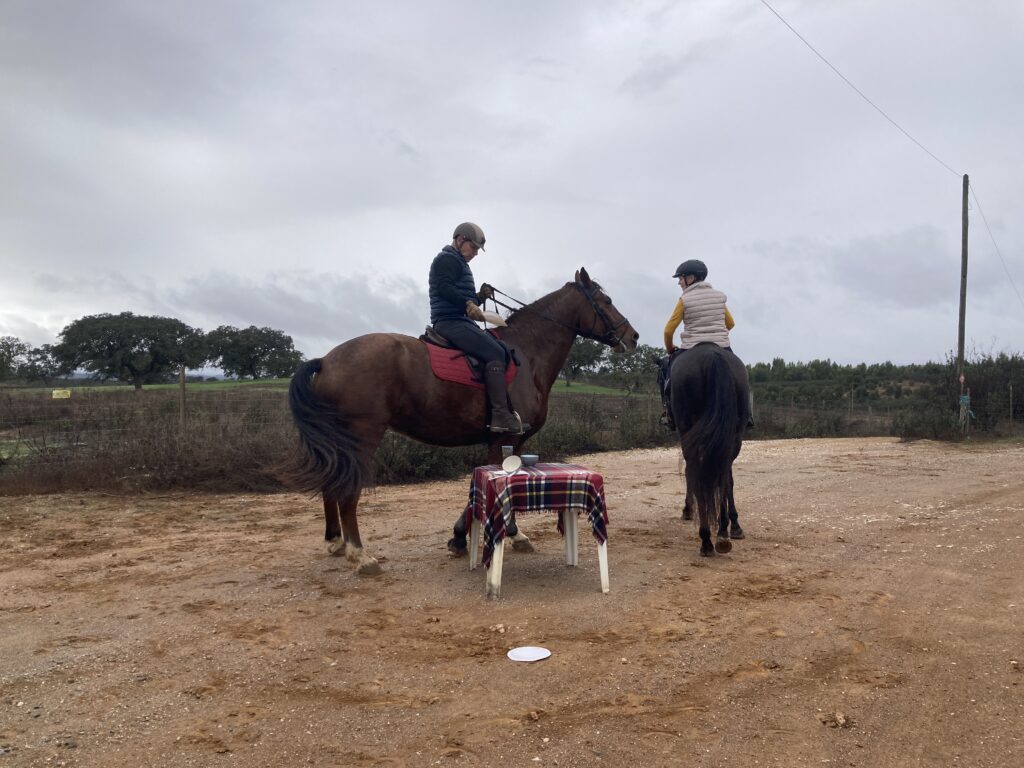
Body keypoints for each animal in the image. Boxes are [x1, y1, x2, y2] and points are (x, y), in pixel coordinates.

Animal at [284, 268, 634, 573]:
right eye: (606, 301)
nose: (632, 336)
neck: (528, 354)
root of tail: (326, 360)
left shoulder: (508, 442)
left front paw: (470, 538)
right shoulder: (504, 438)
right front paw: (490, 535)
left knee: (332, 486)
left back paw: (336, 541)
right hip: (361, 438)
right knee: (347, 491)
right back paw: (359, 554)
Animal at [671, 346, 753, 557]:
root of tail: (712, 355)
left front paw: (687, 510)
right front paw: (732, 525)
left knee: (698, 474)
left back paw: (707, 538)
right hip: (733, 436)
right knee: (722, 475)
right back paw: (723, 533)